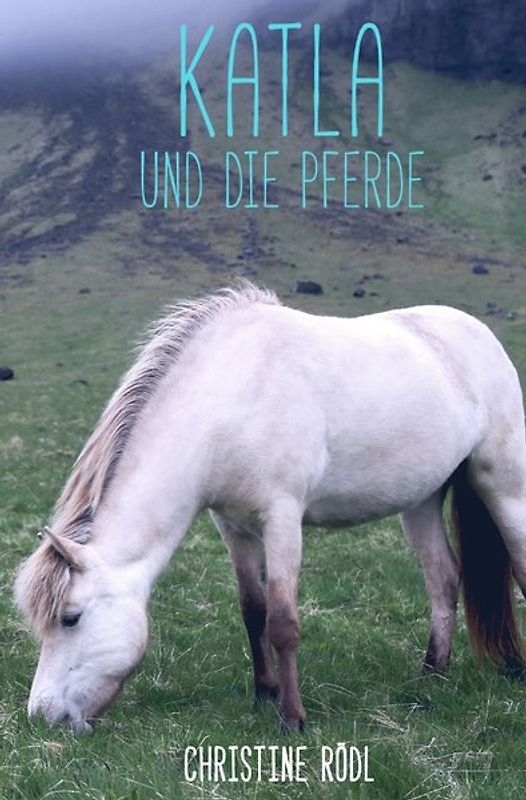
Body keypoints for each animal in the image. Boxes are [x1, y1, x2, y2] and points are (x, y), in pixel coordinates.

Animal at [14, 283, 526, 733]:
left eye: (71, 618)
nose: (43, 716)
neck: (231, 400)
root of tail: (478, 333)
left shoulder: (281, 519)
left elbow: (282, 622)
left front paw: (292, 718)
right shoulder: (232, 525)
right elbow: (252, 609)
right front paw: (264, 693)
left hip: (502, 484)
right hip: (420, 501)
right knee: (443, 577)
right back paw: (431, 676)